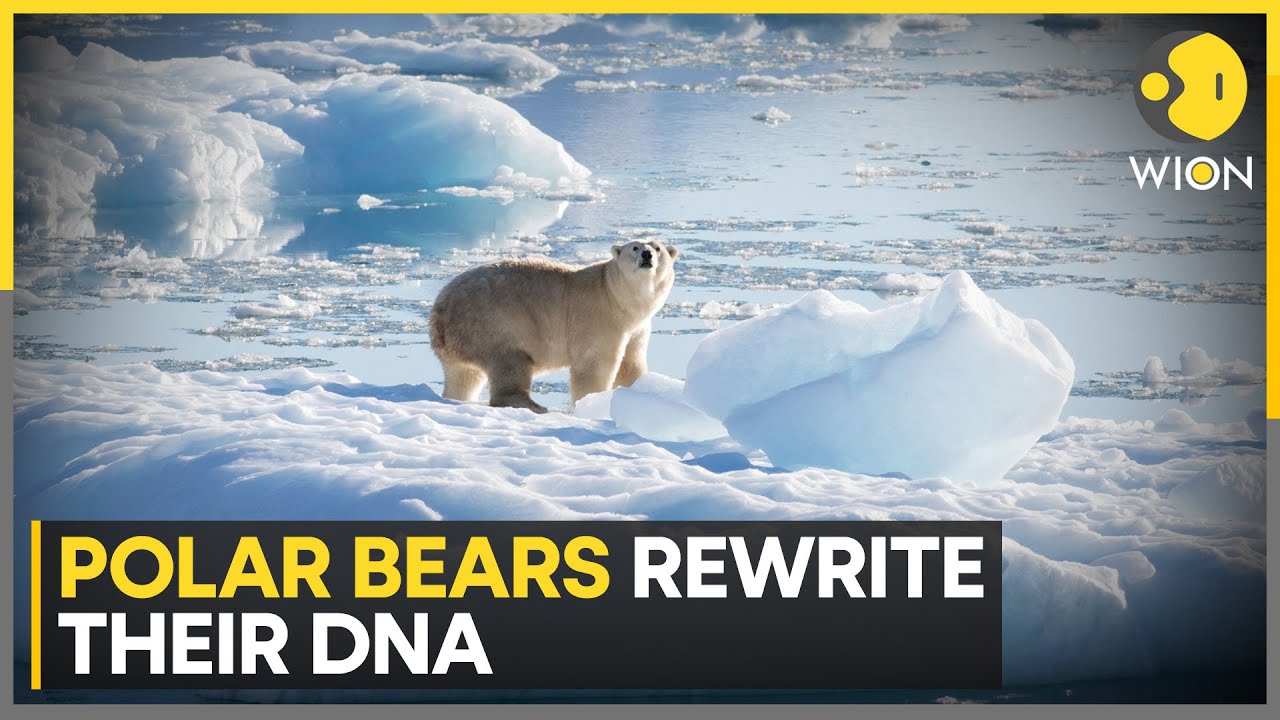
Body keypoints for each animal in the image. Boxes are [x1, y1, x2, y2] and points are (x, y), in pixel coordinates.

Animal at [429, 239, 678, 413]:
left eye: (657, 247)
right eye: (634, 247)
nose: (647, 254)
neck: (615, 295)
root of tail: (440, 309)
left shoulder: (637, 328)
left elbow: (631, 365)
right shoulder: (598, 317)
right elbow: (594, 366)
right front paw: (593, 403)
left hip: (462, 339)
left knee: (463, 375)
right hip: (493, 322)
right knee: (509, 361)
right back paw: (535, 405)